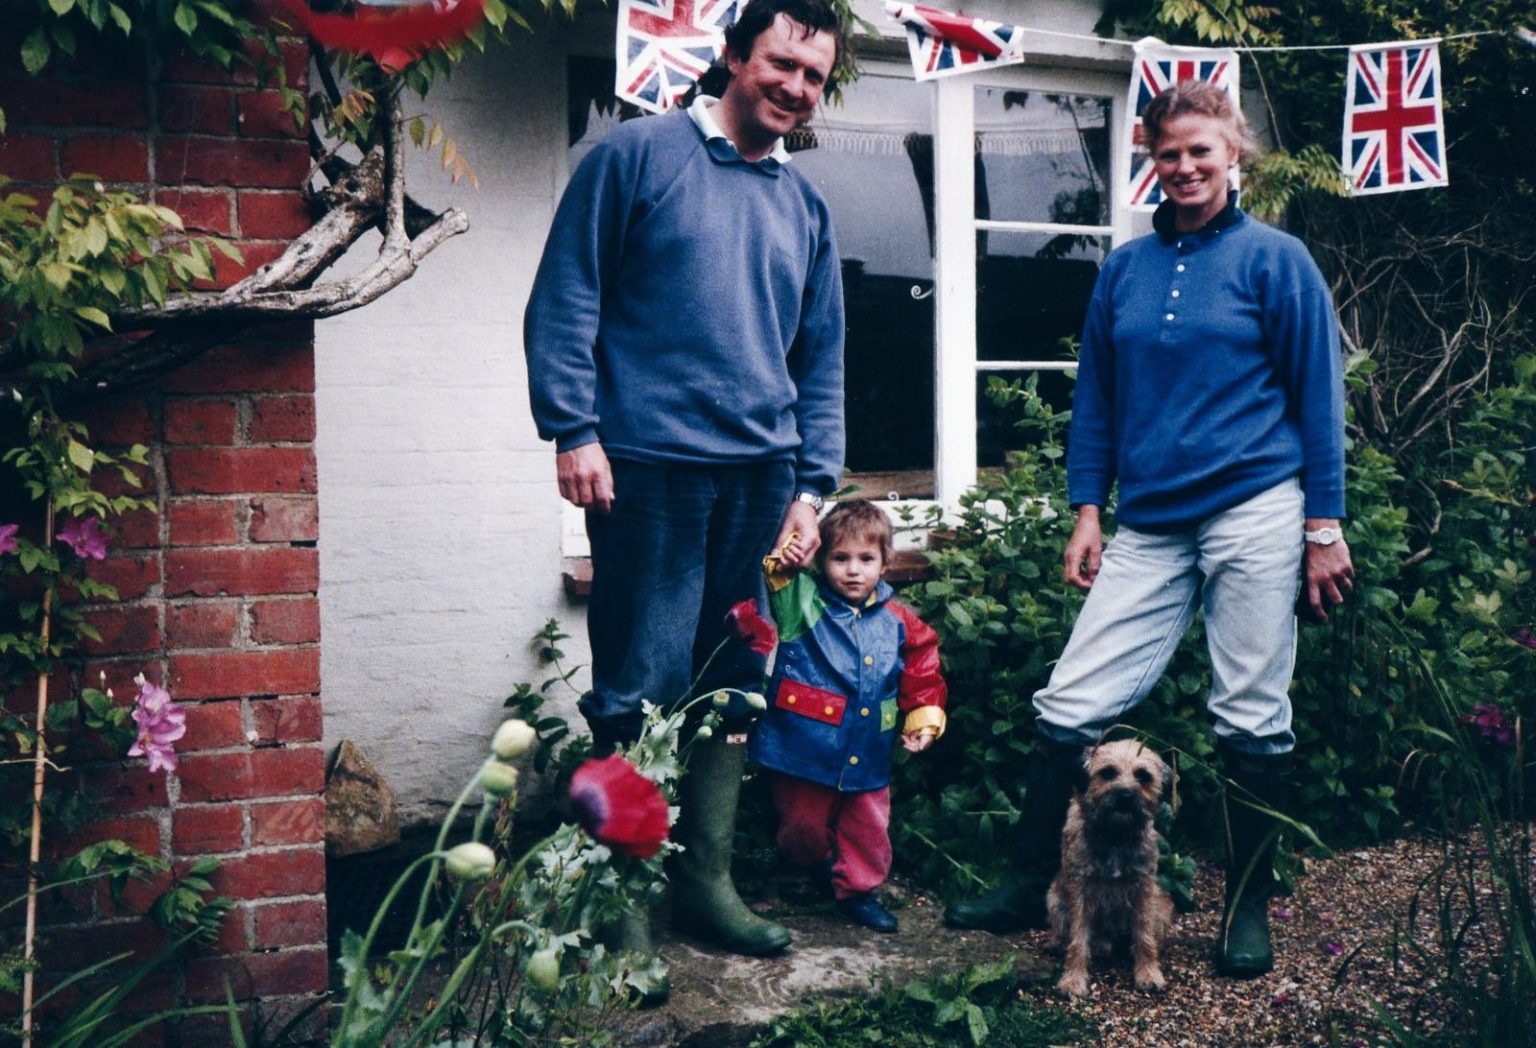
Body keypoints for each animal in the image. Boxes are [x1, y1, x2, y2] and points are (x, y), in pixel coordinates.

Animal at [1044, 734, 1173, 995]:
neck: (1115, 835)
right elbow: (1078, 938)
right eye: (1107, 772)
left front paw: (1148, 973)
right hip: (1054, 899)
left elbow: (1144, 935)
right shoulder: (1079, 890)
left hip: (1162, 906)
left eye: (1143, 776)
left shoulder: (1144, 889)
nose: (1125, 795)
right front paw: (1073, 979)